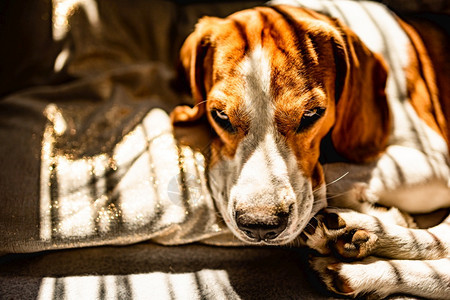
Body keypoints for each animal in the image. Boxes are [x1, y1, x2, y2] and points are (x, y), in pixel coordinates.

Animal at [171, 3, 448, 298]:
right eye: (220, 115)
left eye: (312, 114)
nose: (260, 225)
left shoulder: (435, 165)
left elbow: (332, 175)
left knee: (440, 243)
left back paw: (361, 260)